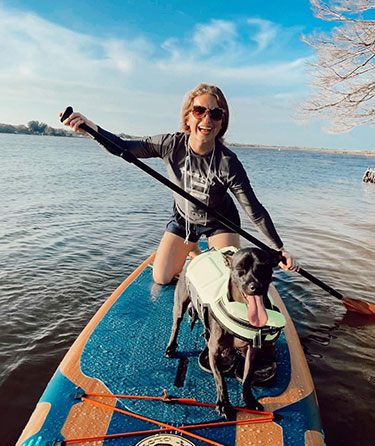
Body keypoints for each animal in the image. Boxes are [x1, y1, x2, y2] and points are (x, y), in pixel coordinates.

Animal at [166, 247, 284, 418]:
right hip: (180, 304)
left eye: (264, 268)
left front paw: (249, 399)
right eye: (240, 270)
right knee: (176, 326)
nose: (255, 286)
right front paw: (224, 404)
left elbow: (247, 377)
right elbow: (220, 379)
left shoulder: (251, 351)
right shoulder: (214, 351)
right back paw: (171, 347)